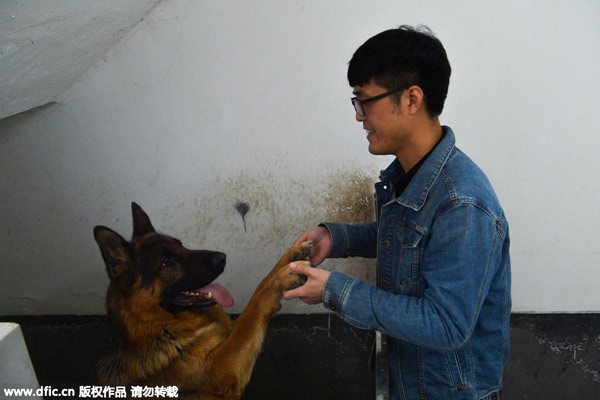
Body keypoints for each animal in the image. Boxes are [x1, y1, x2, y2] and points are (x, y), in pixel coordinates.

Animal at [94, 205, 314, 398]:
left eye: (180, 244)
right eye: (166, 262)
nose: (222, 258)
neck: (159, 325)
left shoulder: (230, 332)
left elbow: (260, 286)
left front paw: (292, 254)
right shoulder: (223, 368)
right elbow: (255, 306)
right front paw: (282, 277)